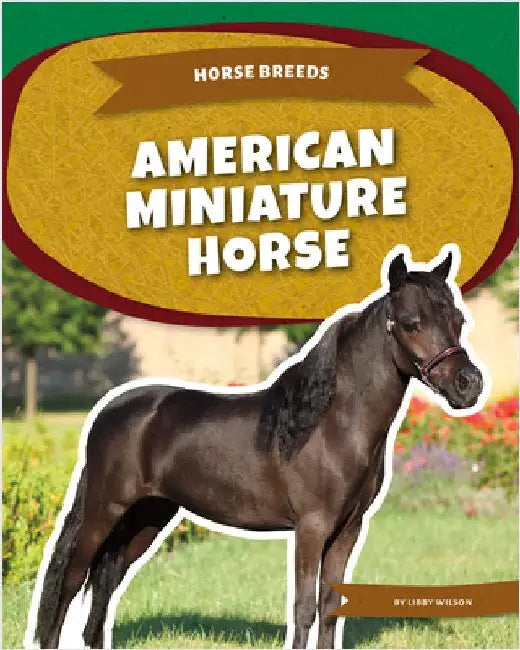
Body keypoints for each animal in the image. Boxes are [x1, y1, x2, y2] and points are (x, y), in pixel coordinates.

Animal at [27, 246, 486, 650]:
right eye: (410, 322)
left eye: (458, 319)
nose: (469, 385)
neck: (329, 425)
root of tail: (108, 410)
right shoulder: (312, 527)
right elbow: (304, 609)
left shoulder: (348, 530)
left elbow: (329, 607)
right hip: (104, 512)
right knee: (69, 582)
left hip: (147, 518)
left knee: (105, 587)